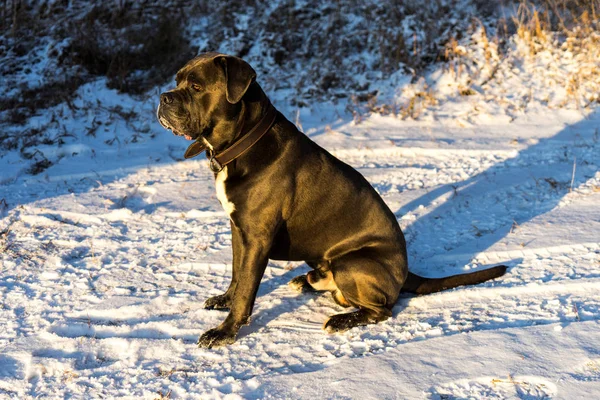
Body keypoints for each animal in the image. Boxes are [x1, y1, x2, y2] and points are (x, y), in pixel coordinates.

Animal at [156, 52, 506, 346]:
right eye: (177, 80)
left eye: (197, 86)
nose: (163, 97)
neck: (244, 140)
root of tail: (406, 272)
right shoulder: (238, 229)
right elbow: (236, 273)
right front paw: (223, 301)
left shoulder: (257, 236)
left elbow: (246, 289)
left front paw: (225, 332)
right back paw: (308, 280)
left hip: (352, 263)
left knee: (382, 310)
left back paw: (340, 319)